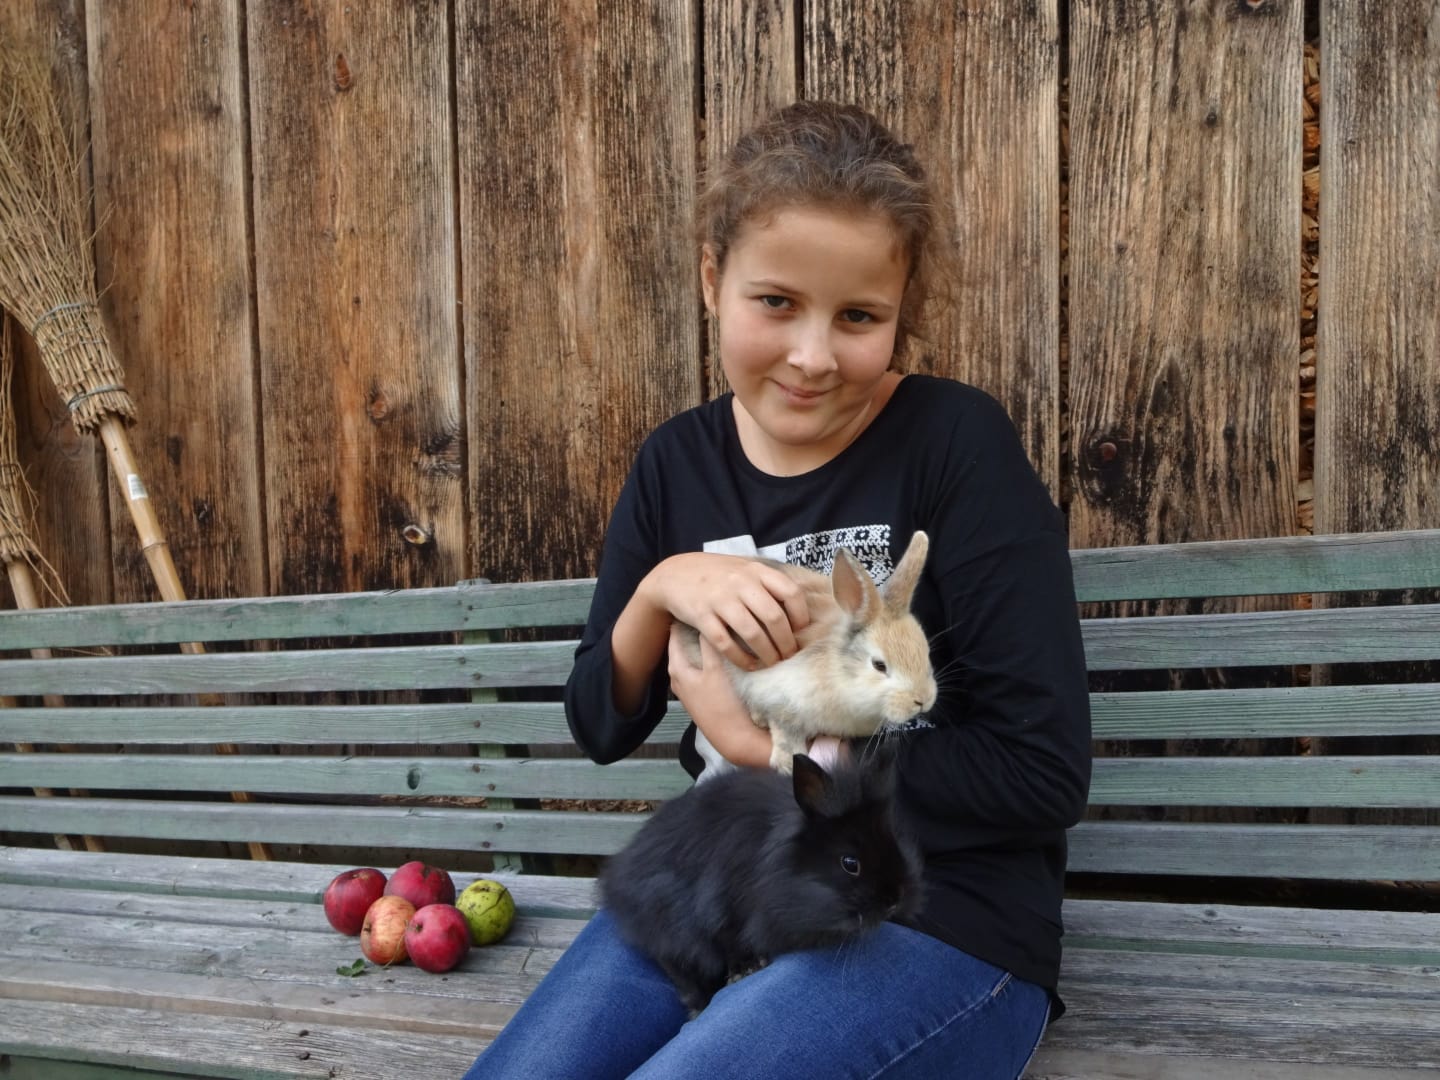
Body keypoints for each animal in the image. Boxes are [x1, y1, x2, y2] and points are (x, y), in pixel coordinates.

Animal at [598, 750, 923, 1013]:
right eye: (850, 864)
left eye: (895, 841)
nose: (895, 899)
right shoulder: (716, 905)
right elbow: (727, 939)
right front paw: (746, 968)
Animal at [680, 529, 937, 774]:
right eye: (879, 665)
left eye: (926, 653)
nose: (922, 700)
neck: (838, 674)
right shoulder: (778, 696)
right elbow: (785, 731)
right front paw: (787, 764)